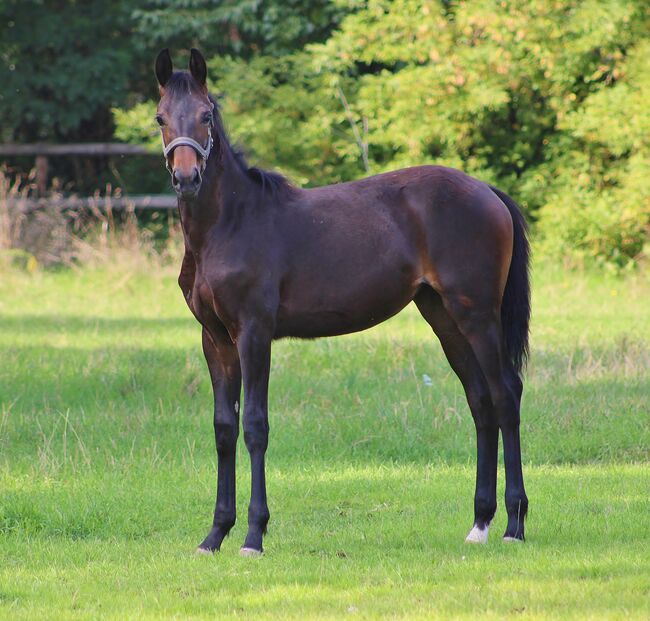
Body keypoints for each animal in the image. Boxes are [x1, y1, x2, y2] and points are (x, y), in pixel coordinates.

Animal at [154, 46, 528, 556]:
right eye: (160, 118)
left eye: (206, 114)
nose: (186, 177)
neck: (230, 223)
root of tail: (487, 190)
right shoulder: (215, 340)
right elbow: (224, 429)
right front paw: (214, 535)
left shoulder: (254, 333)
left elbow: (255, 426)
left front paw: (253, 535)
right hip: (444, 317)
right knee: (481, 401)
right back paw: (480, 524)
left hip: (478, 315)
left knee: (506, 395)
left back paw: (514, 525)